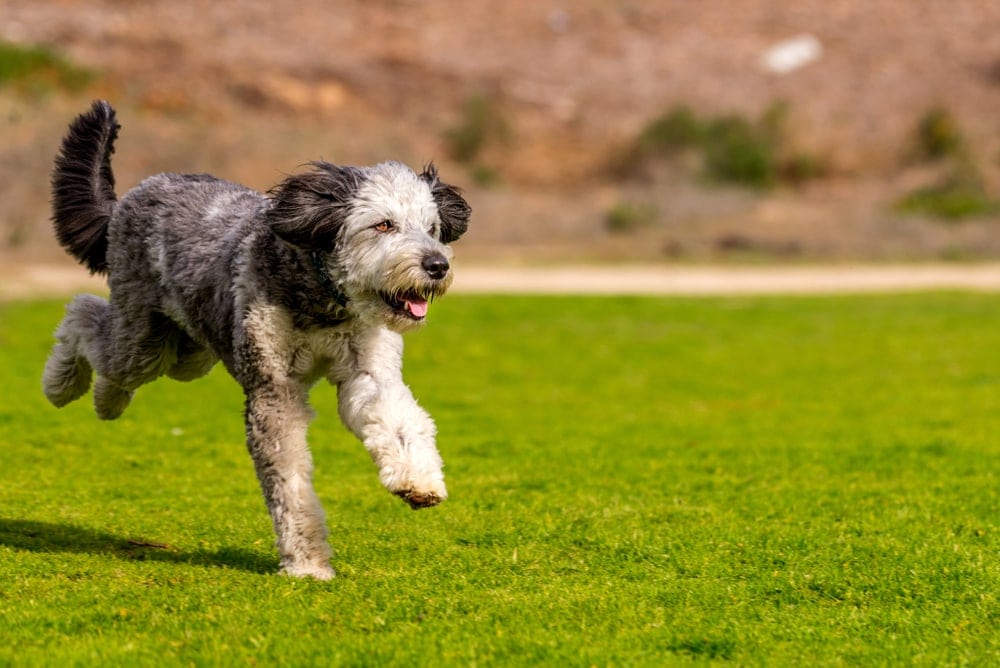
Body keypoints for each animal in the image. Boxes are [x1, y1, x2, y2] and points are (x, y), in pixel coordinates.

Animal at [43, 100, 472, 580]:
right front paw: (306, 562)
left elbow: (399, 420)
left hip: (188, 352)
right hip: (143, 340)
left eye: (432, 228)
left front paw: (419, 481)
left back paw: (104, 398)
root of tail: (127, 200)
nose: (437, 266)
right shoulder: (274, 391)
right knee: (83, 315)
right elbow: (290, 482)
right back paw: (66, 387)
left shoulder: (369, 372)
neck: (321, 296)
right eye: (383, 225)